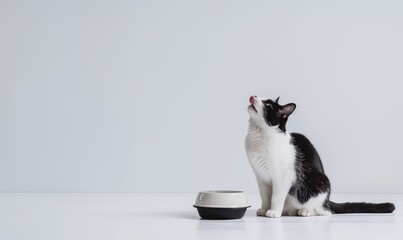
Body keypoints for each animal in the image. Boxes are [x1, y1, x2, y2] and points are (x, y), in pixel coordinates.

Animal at [245, 95, 396, 218]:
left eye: (267, 104)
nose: (253, 96)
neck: (260, 136)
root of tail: (327, 200)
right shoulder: (261, 177)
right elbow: (265, 196)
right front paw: (264, 209)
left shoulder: (283, 176)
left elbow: (276, 196)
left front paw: (274, 211)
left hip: (321, 181)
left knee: (325, 211)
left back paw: (304, 211)